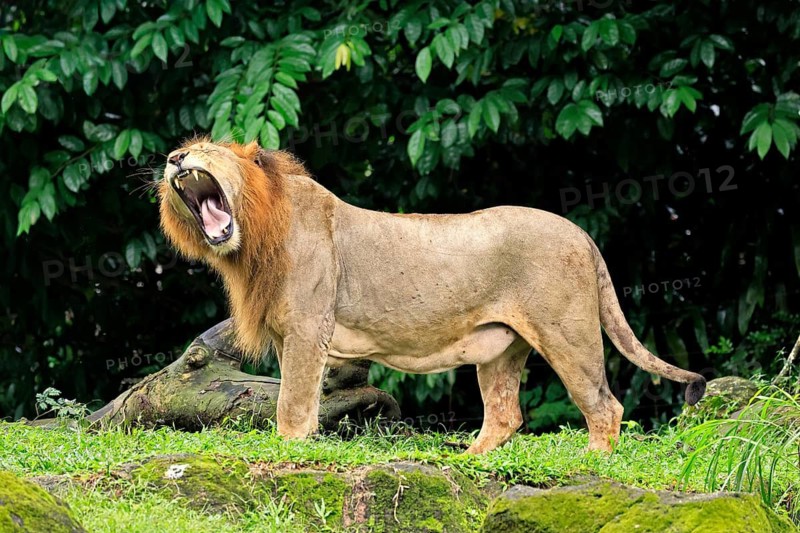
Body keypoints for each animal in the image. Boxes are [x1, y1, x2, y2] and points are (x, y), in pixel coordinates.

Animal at [158, 138, 706, 454]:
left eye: (208, 149)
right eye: (184, 149)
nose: (174, 159)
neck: (252, 240)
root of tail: (582, 234)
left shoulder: (307, 329)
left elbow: (291, 404)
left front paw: (289, 451)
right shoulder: (285, 336)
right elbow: (303, 399)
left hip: (567, 334)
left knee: (604, 406)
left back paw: (590, 462)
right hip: (502, 349)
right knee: (505, 414)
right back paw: (468, 461)